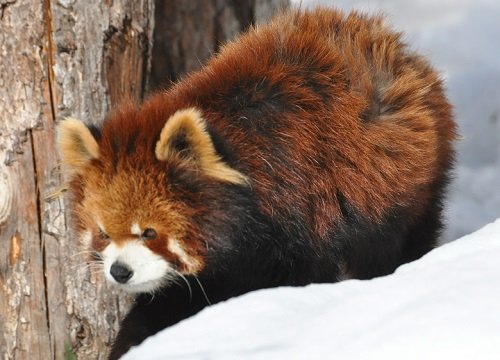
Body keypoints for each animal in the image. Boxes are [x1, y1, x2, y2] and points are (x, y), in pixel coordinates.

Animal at [56, 7, 456, 358]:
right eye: (103, 233)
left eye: (149, 232)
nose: (119, 271)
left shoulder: (298, 207)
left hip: (401, 188)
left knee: (394, 245)